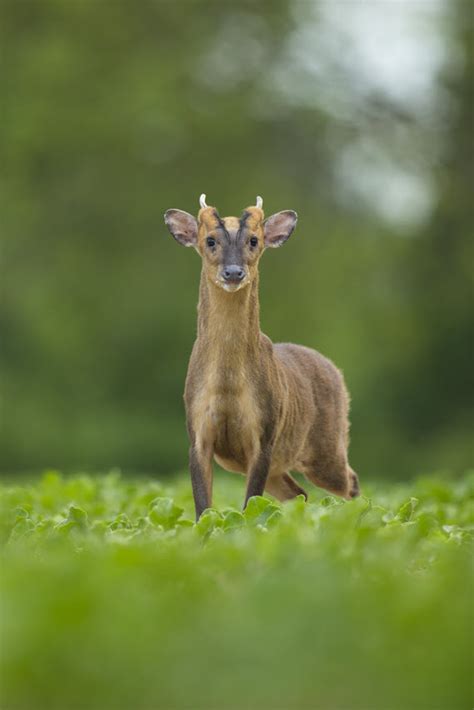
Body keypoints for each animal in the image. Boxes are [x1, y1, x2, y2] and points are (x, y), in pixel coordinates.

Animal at [164, 197, 360, 520]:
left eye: (254, 240)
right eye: (210, 240)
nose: (233, 273)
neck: (227, 386)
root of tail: (336, 371)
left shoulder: (264, 432)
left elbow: (249, 504)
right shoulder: (197, 430)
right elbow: (203, 507)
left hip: (328, 445)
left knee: (350, 483)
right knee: (299, 493)